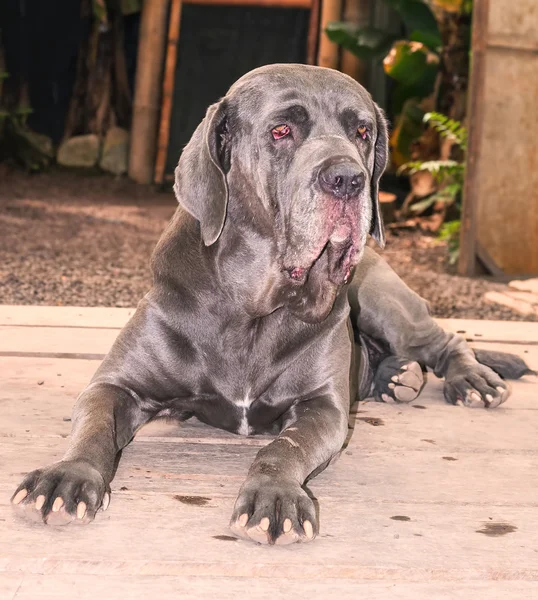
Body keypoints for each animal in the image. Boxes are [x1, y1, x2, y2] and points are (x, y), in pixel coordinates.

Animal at [10, 64, 528, 544]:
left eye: (362, 132)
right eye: (281, 131)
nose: (348, 179)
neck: (253, 306)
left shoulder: (323, 407)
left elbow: (283, 448)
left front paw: (275, 497)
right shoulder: (116, 384)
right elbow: (94, 425)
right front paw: (67, 477)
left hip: (384, 300)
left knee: (446, 340)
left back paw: (471, 379)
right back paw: (396, 376)